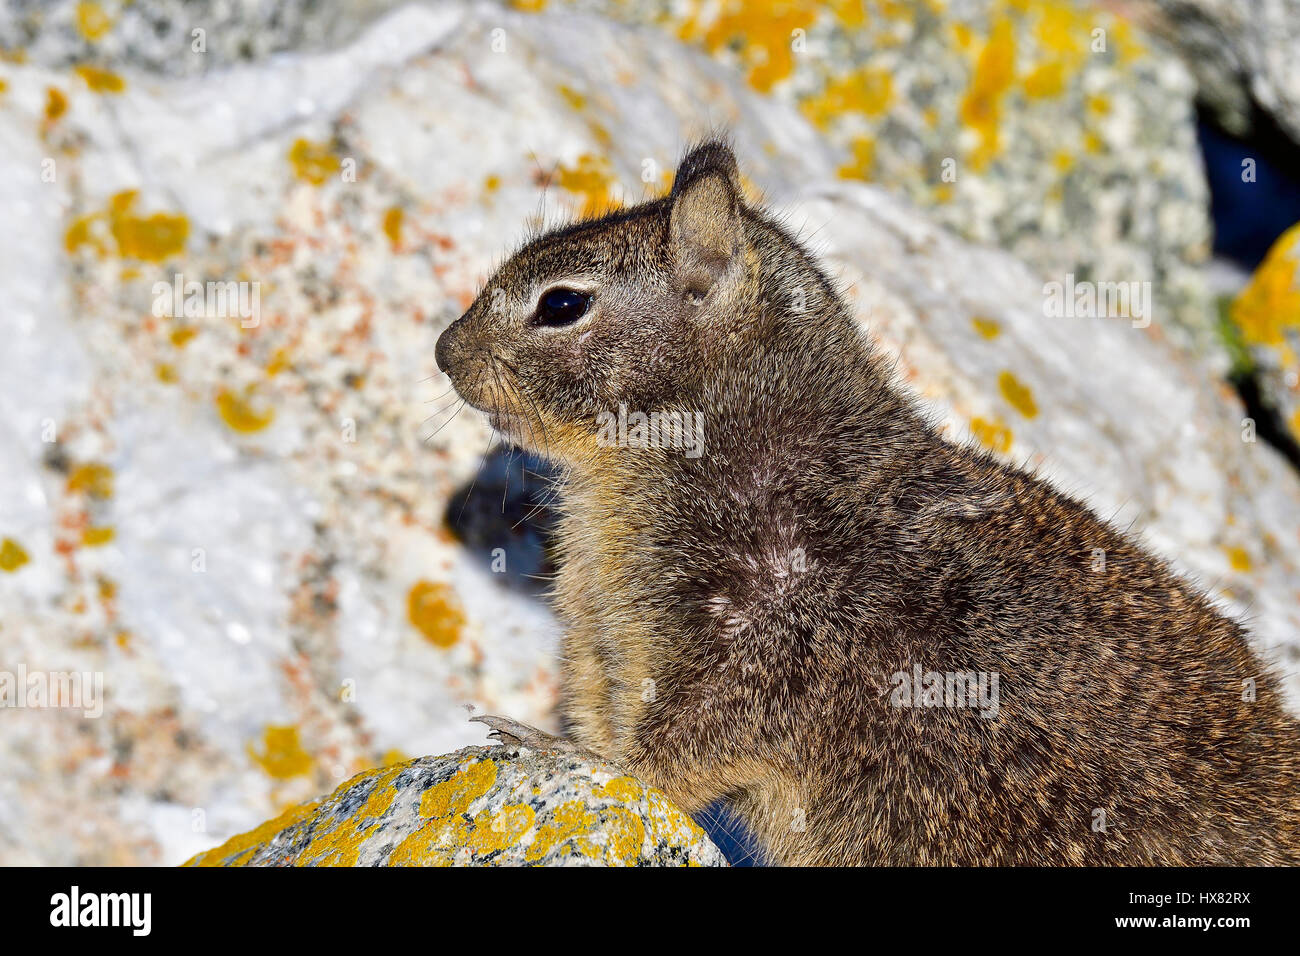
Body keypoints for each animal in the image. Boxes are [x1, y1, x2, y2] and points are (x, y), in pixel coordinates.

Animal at [434, 141, 1300, 868]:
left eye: (561, 305)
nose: (443, 351)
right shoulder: (600, 648)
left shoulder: (769, 652)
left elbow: (675, 751)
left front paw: (566, 752)